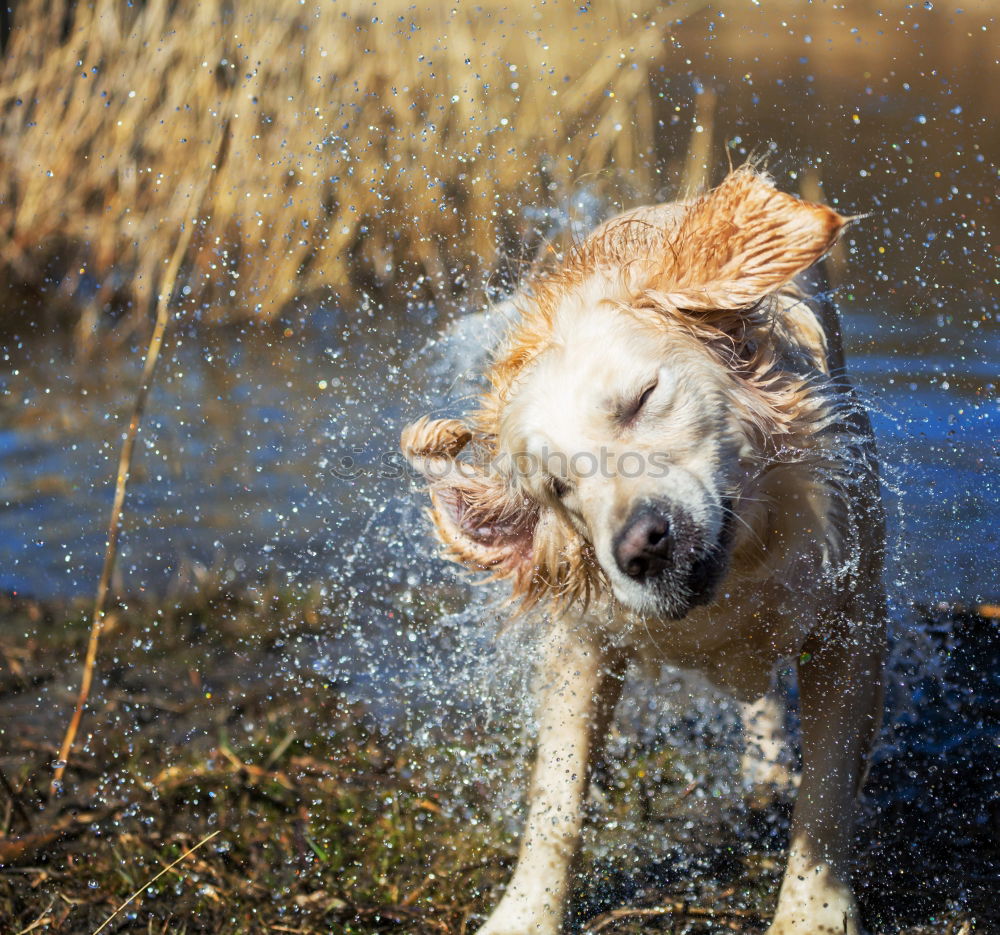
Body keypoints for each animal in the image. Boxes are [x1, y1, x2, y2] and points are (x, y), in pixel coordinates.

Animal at [398, 168, 884, 935]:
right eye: (556, 485)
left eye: (642, 397)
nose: (641, 547)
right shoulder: (583, 639)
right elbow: (556, 795)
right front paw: (526, 911)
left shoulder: (849, 616)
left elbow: (828, 790)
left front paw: (813, 912)